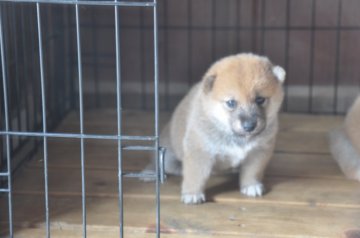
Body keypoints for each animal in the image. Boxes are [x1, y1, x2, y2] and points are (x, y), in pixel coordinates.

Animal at [145, 53, 286, 205]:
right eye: (231, 102)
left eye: (260, 99)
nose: (249, 126)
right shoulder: (200, 151)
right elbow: (195, 175)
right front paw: (192, 193)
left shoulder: (258, 152)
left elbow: (252, 171)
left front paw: (251, 185)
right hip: (167, 158)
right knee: (159, 163)